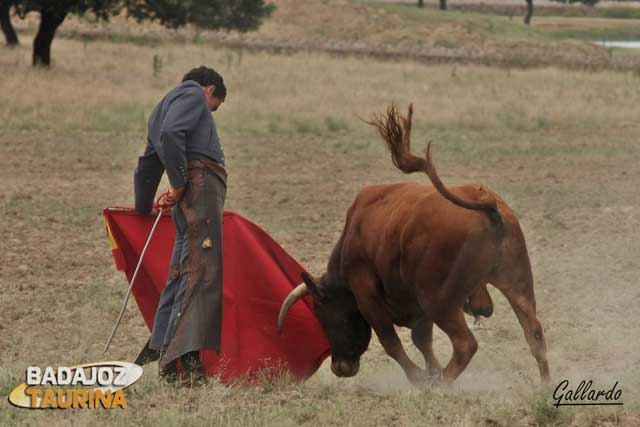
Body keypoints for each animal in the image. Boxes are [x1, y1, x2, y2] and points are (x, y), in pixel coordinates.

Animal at [278, 104, 552, 388]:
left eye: (324, 314)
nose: (340, 368)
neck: (354, 234)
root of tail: (487, 205)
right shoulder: (417, 309)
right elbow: (421, 339)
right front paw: (430, 372)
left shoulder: (366, 292)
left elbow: (391, 341)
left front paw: (421, 377)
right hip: (517, 283)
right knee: (533, 332)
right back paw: (544, 385)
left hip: (439, 301)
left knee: (465, 344)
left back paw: (441, 386)